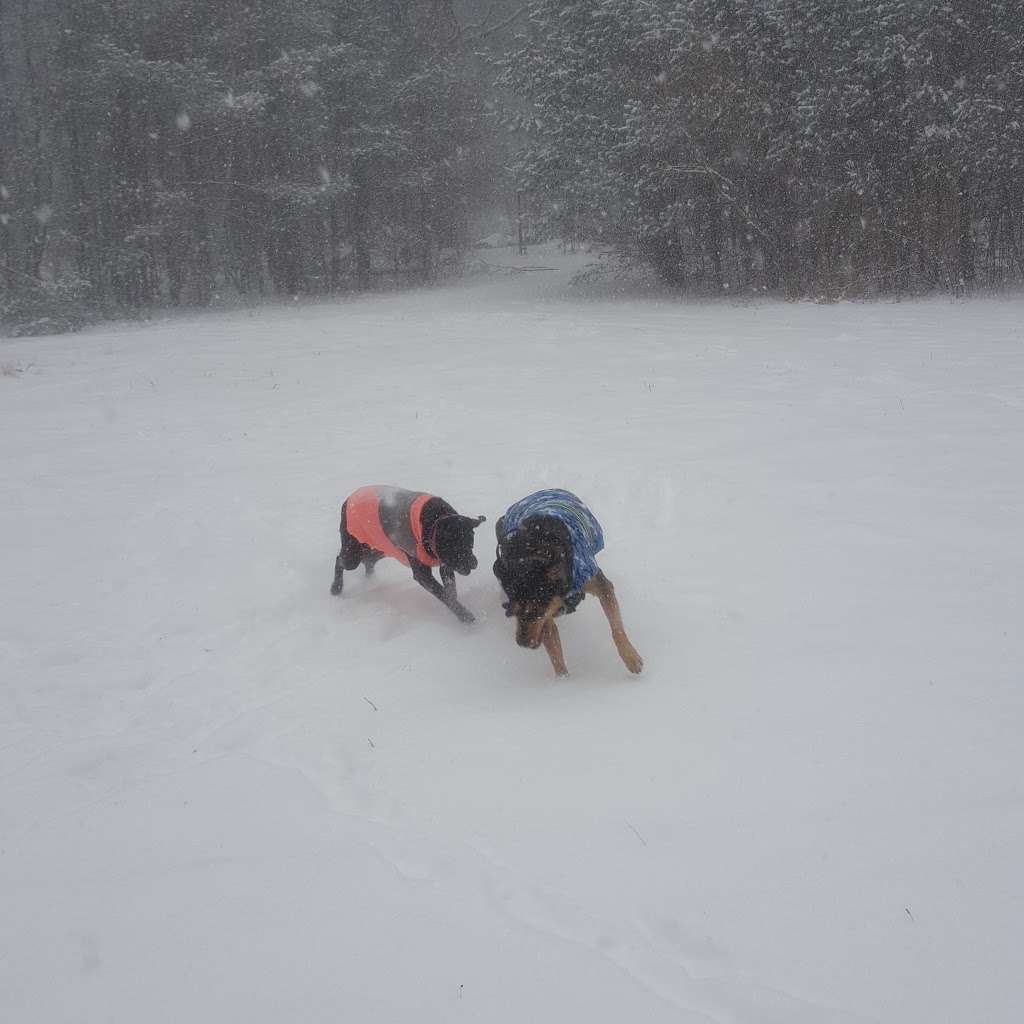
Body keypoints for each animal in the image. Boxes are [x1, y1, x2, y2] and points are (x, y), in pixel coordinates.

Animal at [329, 483, 485, 618]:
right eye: (455, 546)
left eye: (471, 542)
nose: (474, 564)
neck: (434, 523)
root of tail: (349, 498)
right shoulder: (423, 575)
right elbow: (444, 594)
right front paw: (464, 615)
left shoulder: (445, 566)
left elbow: (451, 591)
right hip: (352, 555)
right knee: (340, 560)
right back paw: (336, 587)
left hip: (382, 548)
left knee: (368, 560)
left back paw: (370, 578)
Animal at [491, 489, 643, 679]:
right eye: (512, 610)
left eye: (536, 610)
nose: (522, 644)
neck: (534, 554)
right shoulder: (546, 618)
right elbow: (555, 653)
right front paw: (564, 682)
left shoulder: (597, 583)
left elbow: (617, 627)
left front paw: (630, 657)